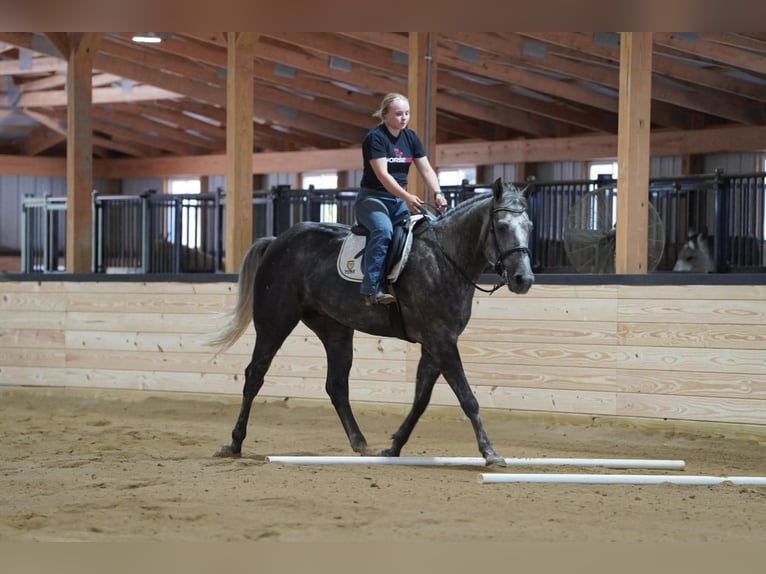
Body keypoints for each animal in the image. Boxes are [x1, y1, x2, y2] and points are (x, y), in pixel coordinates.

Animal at [206, 178, 535, 466]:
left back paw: (360, 442)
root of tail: (277, 241)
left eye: (529, 227)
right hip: (275, 323)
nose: (524, 279)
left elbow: (421, 399)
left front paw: (394, 446)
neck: (445, 259)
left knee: (336, 385)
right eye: (502, 227)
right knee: (254, 375)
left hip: (335, 331)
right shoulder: (441, 341)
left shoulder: (435, 345)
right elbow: (468, 398)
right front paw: (490, 452)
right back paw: (234, 443)